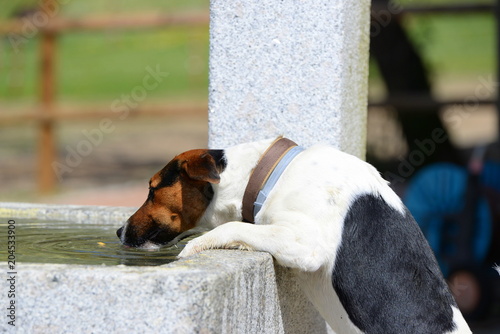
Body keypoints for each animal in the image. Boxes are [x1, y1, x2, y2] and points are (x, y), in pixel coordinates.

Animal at [118, 137, 472, 332]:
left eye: (151, 190)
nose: (119, 230)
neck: (268, 175)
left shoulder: (305, 244)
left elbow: (233, 227)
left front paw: (194, 249)